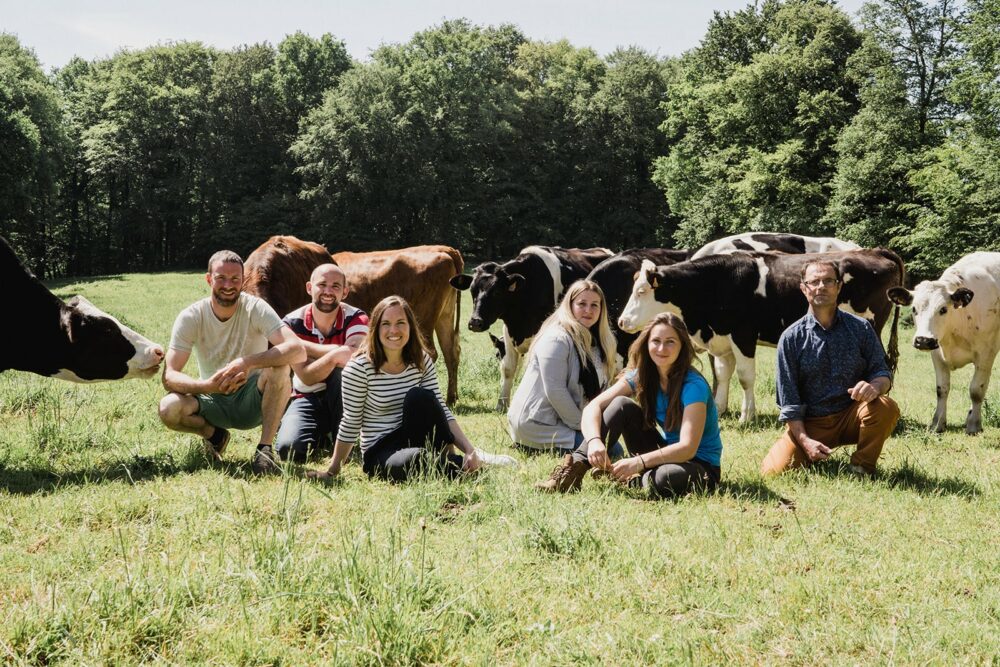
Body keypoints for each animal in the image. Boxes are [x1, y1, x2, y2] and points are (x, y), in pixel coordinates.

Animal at [242, 237, 464, 410]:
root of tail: (443, 249)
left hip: (424, 319)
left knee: (431, 354)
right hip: (444, 316)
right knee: (451, 351)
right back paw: (451, 398)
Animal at [450, 245, 612, 410]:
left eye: (496, 291)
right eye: (472, 290)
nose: (475, 322)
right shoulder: (508, 331)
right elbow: (508, 368)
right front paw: (502, 403)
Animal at [616, 250, 908, 422]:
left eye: (641, 291)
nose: (621, 321)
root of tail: (874, 251)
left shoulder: (743, 335)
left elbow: (745, 377)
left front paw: (747, 416)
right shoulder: (722, 339)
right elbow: (723, 374)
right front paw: (719, 410)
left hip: (871, 326)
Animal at [888, 253, 1000, 436]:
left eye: (943, 309)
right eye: (914, 309)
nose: (923, 340)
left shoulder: (986, 354)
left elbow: (976, 390)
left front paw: (974, 425)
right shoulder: (937, 353)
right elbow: (942, 389)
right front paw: (938, 423)